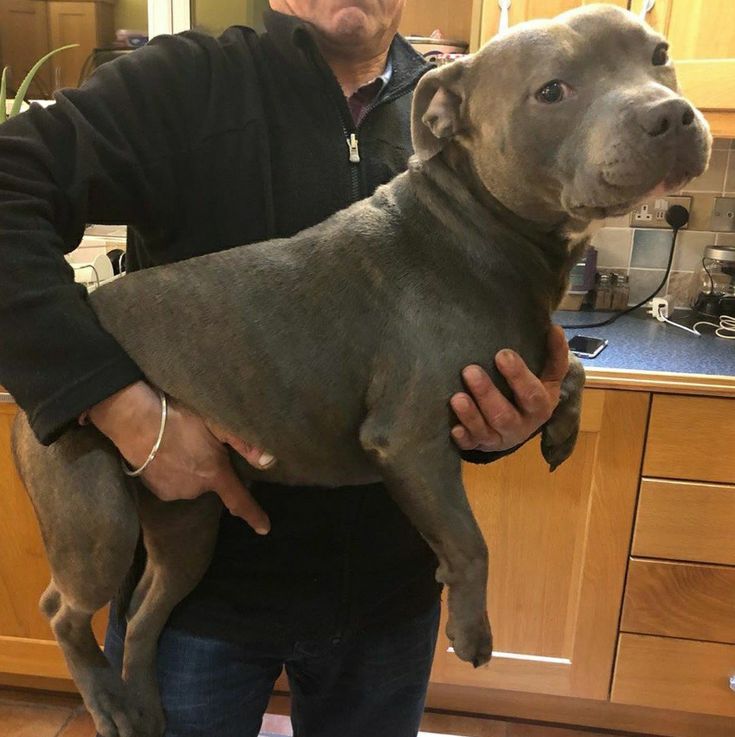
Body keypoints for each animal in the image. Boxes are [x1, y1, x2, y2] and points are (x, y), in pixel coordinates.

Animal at [12, 5, 712, 736]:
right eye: (552, 91)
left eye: (658, 54)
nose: (669, 114)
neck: (480, 228)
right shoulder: (409, 441)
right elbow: (471, 542)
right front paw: (470, 631)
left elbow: (567, 362)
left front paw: (561, 429)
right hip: (98, 520)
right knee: (61, 610)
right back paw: (105, 697)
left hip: (186, 523)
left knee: (146, 613)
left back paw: (141, 703)